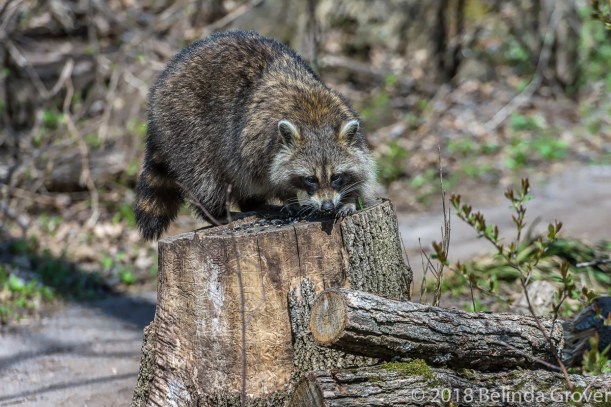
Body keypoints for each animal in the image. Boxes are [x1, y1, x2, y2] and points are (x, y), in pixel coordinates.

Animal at [134, 31, 377, 240]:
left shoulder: (348, 119)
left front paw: (352, 198)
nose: (327, 206)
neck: (315, 118)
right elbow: (267, 176)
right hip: (185, 123)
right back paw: (218, 213)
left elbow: (364, 172)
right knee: (204, 175)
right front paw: (289, 197)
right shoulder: (256, 143)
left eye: (336, 176)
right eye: (311, 179)